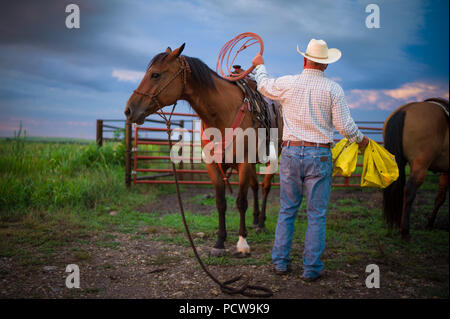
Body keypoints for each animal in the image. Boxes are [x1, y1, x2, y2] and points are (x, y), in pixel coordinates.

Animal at [123, 43, 284, 258]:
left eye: (155, 75)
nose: (129, 110)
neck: (223, 113)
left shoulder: (244, 162)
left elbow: (241, 201)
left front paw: (242, 243)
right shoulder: (213, 166)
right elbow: (221, 202)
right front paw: (220, 242)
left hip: (271, 159)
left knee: (265, 188)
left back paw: (262, 224)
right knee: (255, 188)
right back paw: (256, 220)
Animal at [382, 97, 448, 240]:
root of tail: (404, 110)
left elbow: (440, 197)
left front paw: (430, 224)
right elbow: (441, 198)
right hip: (420, 166)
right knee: (409, 191)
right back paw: (405, 232)